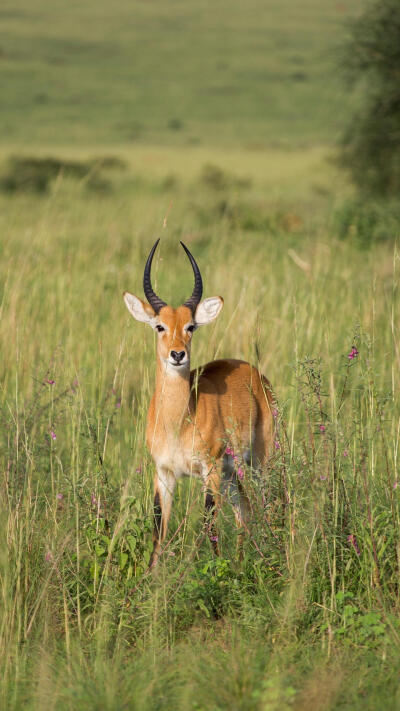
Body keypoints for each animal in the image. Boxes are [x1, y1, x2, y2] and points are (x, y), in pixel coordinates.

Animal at [124, 242, 276, 572]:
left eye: (191, 326)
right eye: (159, 326)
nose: (177, 354)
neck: (177, 421)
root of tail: (255, 373)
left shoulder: (210, 469)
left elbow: (209, 523)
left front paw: (215, 573)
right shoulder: (164, 472)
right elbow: (158, 526)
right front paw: (149, 577)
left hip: (260, 460)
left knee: (271, 502)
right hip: (233, 472)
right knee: (245, 508)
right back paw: (243, 563)